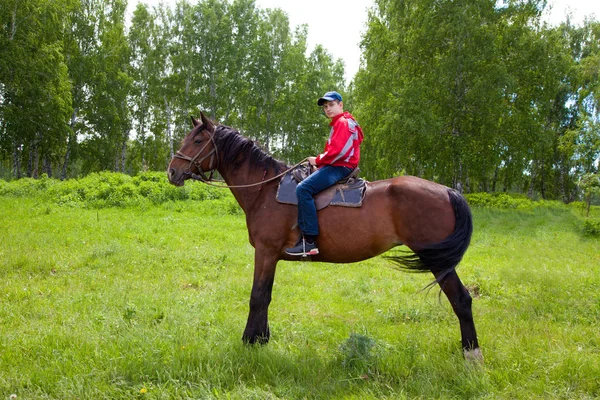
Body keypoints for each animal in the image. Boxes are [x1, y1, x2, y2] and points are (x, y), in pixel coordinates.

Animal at [168, 111, 482, 360]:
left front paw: (249, 341)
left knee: (461, 299)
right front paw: (262, 339)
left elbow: (257, 296)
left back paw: (472, 355)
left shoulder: (265, 252)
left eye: (197, 141)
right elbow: (267, 295)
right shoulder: (271, 256)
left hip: (437, 260)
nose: (172, 171)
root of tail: (449, 191)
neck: (265, 189)